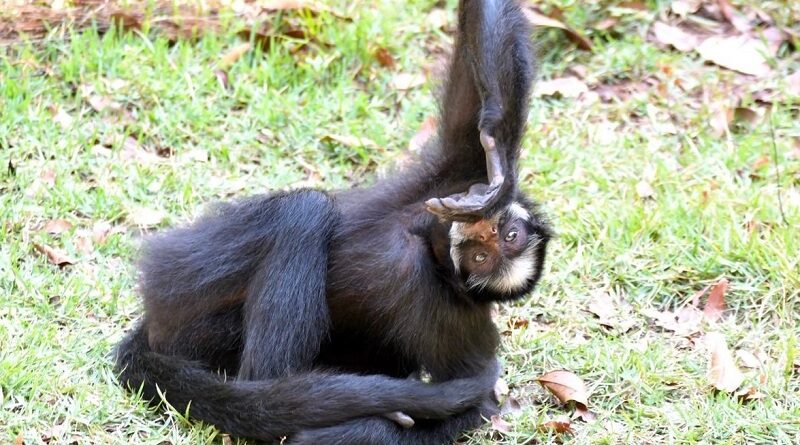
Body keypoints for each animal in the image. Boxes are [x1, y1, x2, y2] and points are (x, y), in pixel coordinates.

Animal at [114, 1, 552, 442]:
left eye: (482, 258)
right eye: (506, 234)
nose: (481, 234)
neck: (425, 246)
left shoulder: (458, 320)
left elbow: (476, 403)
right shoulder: (455, 177)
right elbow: (480, 120)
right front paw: (498, 149)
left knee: (302, 215)